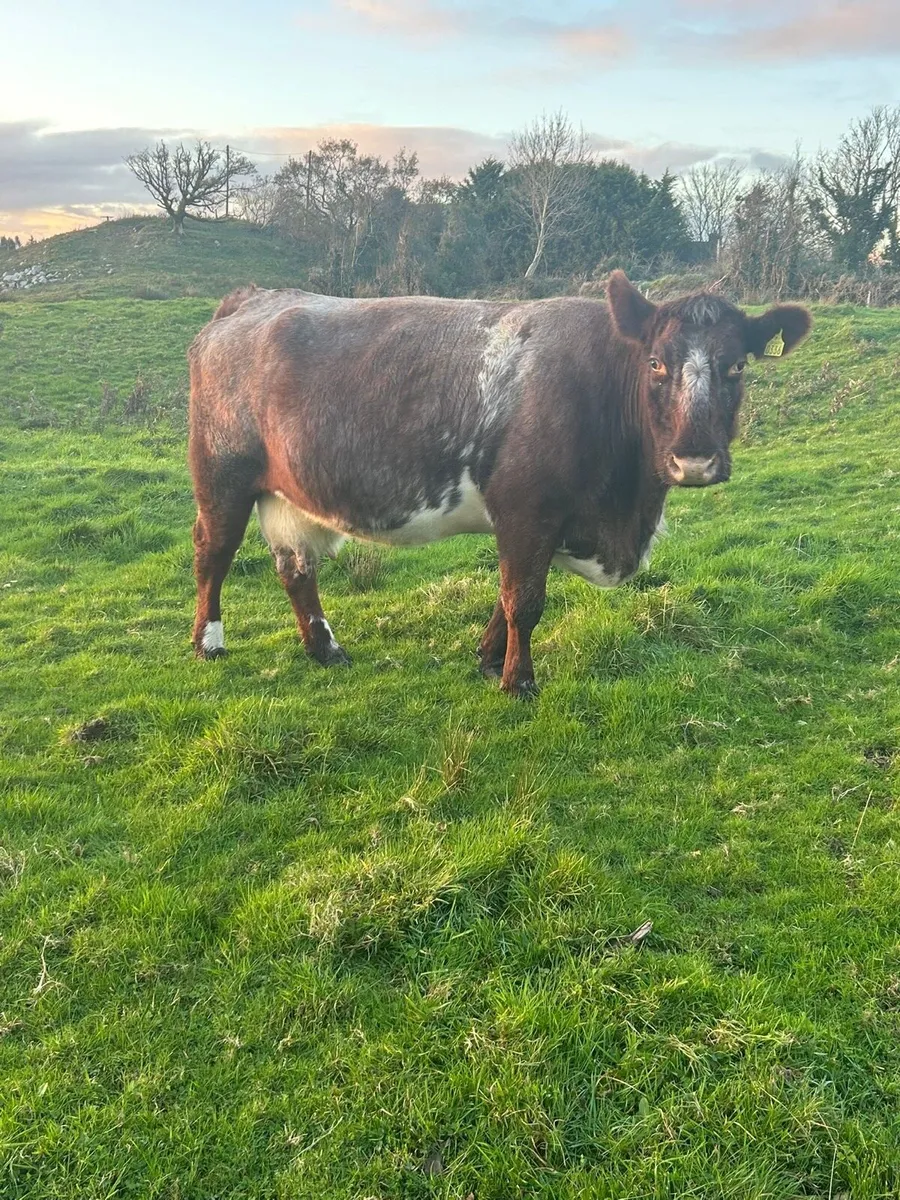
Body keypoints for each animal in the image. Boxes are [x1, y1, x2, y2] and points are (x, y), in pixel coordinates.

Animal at [187, 273, 811, 697]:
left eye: (738, 366)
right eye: (656, 363)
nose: (695, 460)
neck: (624, 513)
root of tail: (251, 299)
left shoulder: (537, 523)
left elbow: (506, 596)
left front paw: (489, 662)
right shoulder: (527, 509)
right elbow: (524, 601)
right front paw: (518, 682)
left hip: (286, 493)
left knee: (295, 567)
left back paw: (324, 648)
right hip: (221, 473)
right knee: (213, 553)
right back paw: (209, 643)